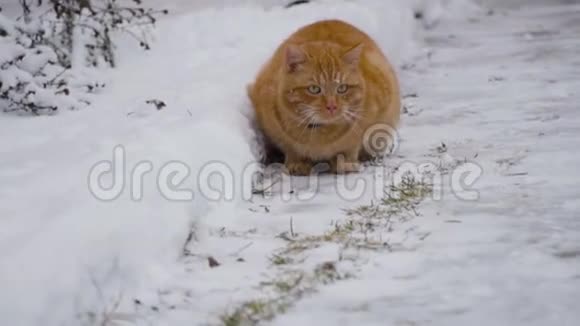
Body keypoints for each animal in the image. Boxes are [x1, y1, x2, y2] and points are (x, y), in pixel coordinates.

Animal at [247, 19, 402, 176]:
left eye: (342, 88)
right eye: (314, 89)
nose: (332, 106)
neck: (320, 135)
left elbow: (350, 148)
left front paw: (345, 163)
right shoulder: (273, 125)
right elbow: (290, 148)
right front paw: (297, 163)